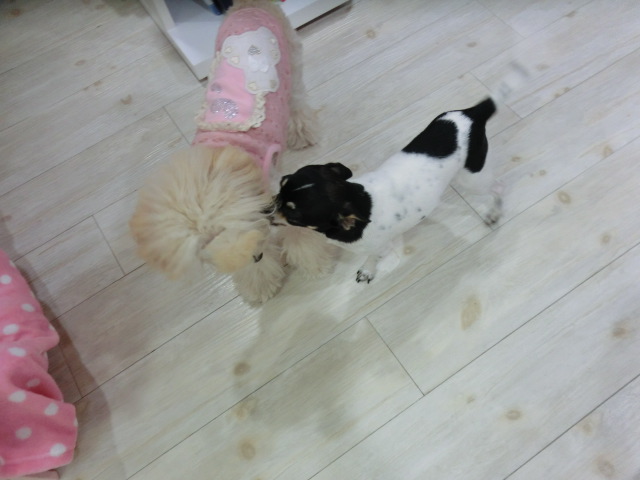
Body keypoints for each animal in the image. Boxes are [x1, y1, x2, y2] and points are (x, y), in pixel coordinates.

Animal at [130, 0, 334, 304]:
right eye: (204, 245)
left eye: (229, 230)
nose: (254, 255)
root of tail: (248, 5)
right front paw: (259, 283)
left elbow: (298, 233)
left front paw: (315, 262)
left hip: (292, 65)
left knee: (297, 99)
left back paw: (302, 132)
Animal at [275, 97, 503, 283]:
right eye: (281, 185)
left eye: (293, 216)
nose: (269, 209)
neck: (359, 199)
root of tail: (472, 113)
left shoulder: (379, 247)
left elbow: (372, 257)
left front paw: (368, 270)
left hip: (472, 179)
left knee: (496, 188)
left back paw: (494, 211)